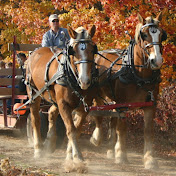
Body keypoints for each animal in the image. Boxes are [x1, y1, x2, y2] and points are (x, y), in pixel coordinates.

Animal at [25, 24, 99, 164]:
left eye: (93, 50)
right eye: (73, 51)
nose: (85, 81)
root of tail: (34, 53)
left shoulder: (83, 107)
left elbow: (77, 130)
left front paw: (70, 154)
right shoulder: (64, 104)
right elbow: (71, 130)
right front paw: (77, 156)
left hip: (54, 98)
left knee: (51, 113)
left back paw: (49, 143)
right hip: (33, 94)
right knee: (35, 119)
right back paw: (38, 149)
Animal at [90, 11, 167, 169]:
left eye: (162, 34)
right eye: (144, 35)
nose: (157, 61)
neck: (139, 74)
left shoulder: (150, 105)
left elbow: (148, 131)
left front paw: (149, 159)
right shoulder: (123, 105)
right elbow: (122, 129)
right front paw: (121, 155)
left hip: (114, 100)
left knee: (112, 119)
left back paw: (110, 150)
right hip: (99, 95)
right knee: (98, 114)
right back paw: (97, 138)